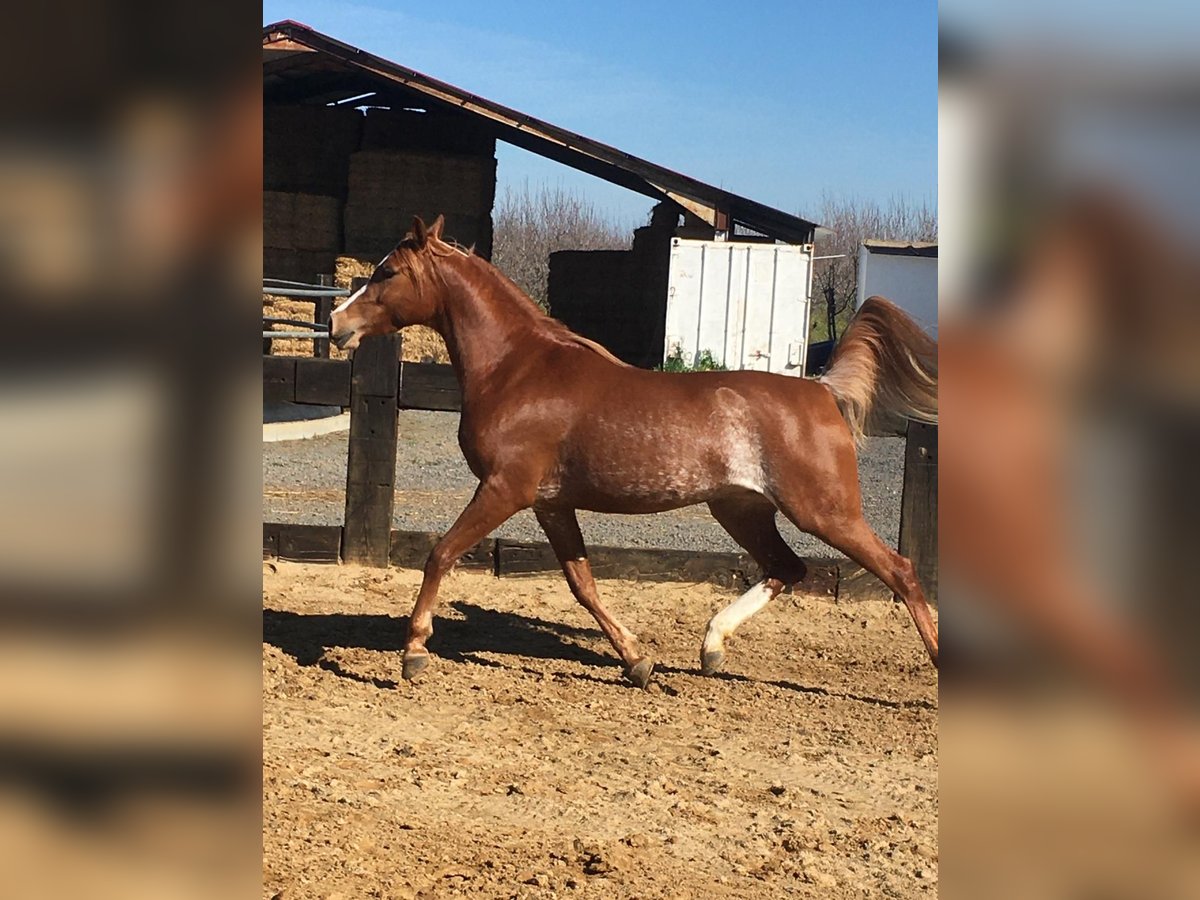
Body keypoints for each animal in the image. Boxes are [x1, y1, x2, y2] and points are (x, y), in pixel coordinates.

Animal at [333, 218, 940, 691]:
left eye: (387, 272)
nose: (338, 324)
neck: (519, 369)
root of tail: (821, 391)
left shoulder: (505, 488)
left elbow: (441, 553)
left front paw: (414, 651)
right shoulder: (550, 504)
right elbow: (582, 584)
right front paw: (637, 661)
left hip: (824, 511)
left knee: (901, 571)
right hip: (741, 508)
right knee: (786, 567)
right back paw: (711, 647)